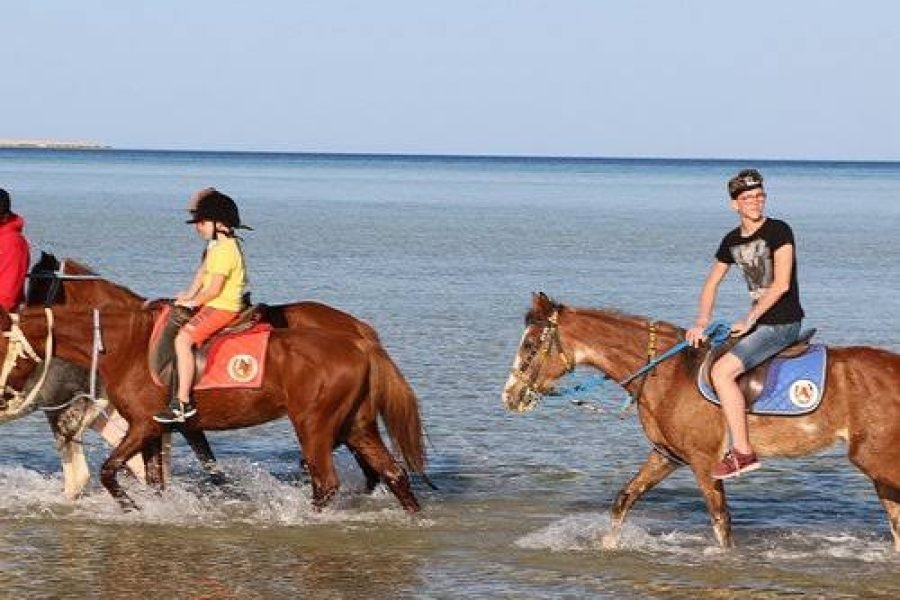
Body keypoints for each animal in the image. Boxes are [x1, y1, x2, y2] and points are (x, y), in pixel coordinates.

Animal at [11, 253, 425, 505]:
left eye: (37, 288)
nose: (17, 309)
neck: (131, 339)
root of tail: (360, 335)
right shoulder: (170, 426)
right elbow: (189, 472)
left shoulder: (154, 423)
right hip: (353, 421)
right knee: (383, 470)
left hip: (317, 423)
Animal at [502, 292, 900, 551]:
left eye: (531, 345)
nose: (510, 395)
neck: (666, 372)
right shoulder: (667, 455)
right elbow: (623, 500)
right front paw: (608, 546)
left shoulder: (704, 461)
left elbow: (721, 522)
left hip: (876, 458)